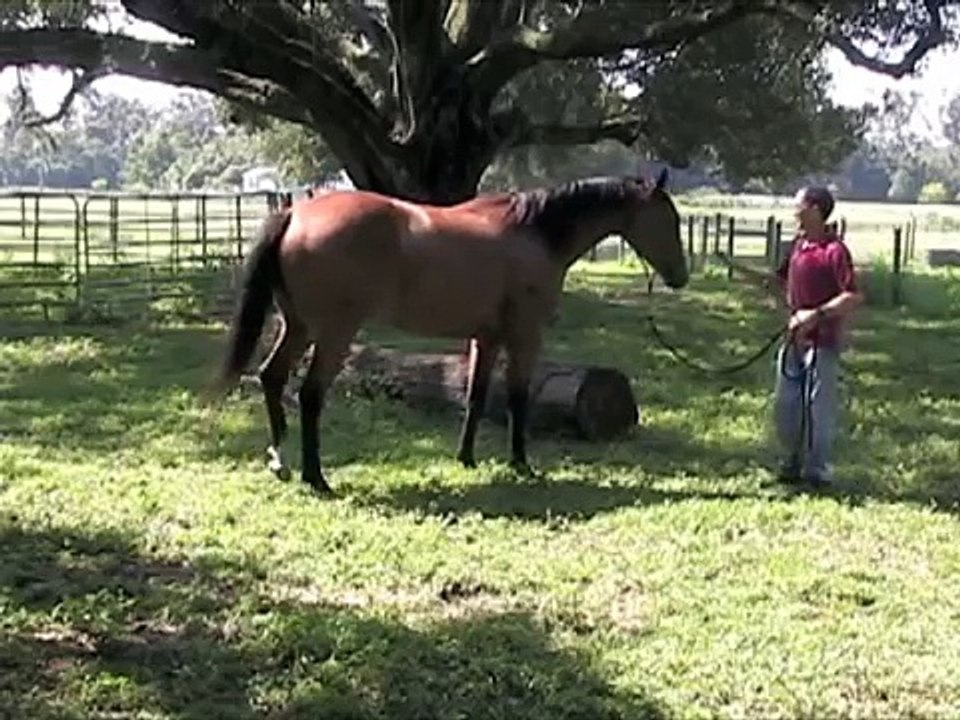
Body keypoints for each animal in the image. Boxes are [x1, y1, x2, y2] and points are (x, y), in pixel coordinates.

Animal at [213, 168, 689, 494]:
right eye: (668, 220)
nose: (680, 276)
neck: (534, 233)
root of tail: (295, 213)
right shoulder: (524, 335)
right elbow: (517, 398)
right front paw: (521, 463)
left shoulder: (486, 337)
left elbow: (475, 397)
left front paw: (467, 459)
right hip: (333, 332)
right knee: (310, 395)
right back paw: (316, 477)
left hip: (299, 326)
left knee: (272, 377)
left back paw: (280, 460)